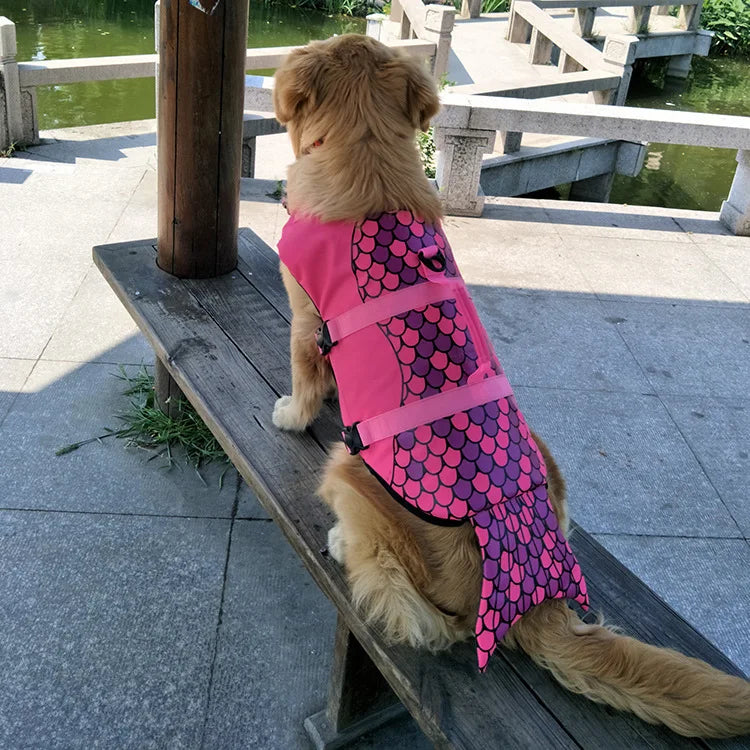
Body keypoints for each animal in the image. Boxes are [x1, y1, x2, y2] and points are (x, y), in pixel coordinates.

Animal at [274, 32, 750, 736]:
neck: (364, 147)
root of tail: (533, 600)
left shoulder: (308, 321)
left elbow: (306, 378)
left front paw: (291, 411)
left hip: (349, 473)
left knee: (424, 616)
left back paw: (340, 541)